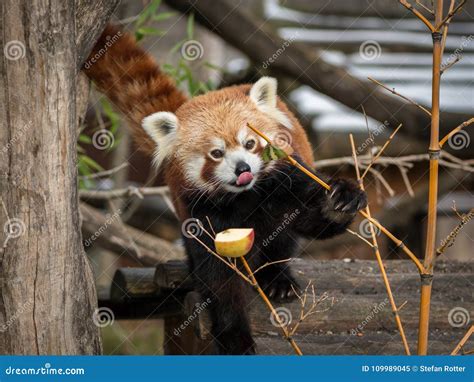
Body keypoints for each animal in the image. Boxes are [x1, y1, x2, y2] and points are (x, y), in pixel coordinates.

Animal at [85, 26, 366, 356]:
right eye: (217, 153)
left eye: (249, 143)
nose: (242, 168)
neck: (245, 198)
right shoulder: (201, 210)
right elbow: (219, 278)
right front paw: (235, 337)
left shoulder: (287, 181)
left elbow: (311, 220)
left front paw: (340, 200)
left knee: (283, 241)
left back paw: (278, 279)